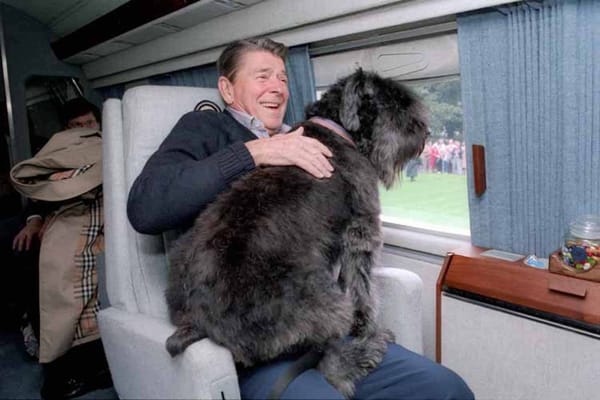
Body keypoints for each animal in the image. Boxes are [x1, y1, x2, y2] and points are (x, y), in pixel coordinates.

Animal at [164, 69, 426, 396]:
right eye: (394, 102)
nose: (424, 131)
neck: (338, 130)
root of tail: (201, 322)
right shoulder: (361, 233)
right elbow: (362, 289)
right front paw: (367, 327)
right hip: (324, 300)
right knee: (330, 365)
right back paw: (367, 350)